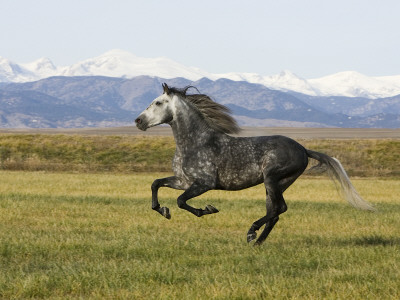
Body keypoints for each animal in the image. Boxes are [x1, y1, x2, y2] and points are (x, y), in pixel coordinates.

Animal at [135, 83, 376, 245]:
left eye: (158, 102)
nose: (138, 121)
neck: (196, 142)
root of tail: (303, 149)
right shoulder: (184, 181)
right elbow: (156, 184)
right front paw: (163, 210)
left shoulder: (204, 183)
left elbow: (181, 201)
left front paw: (207, 209)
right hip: (278, 184)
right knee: (275, 212)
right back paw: (258, 242)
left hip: (272, 179)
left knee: (279, 209)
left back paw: (251, 232)